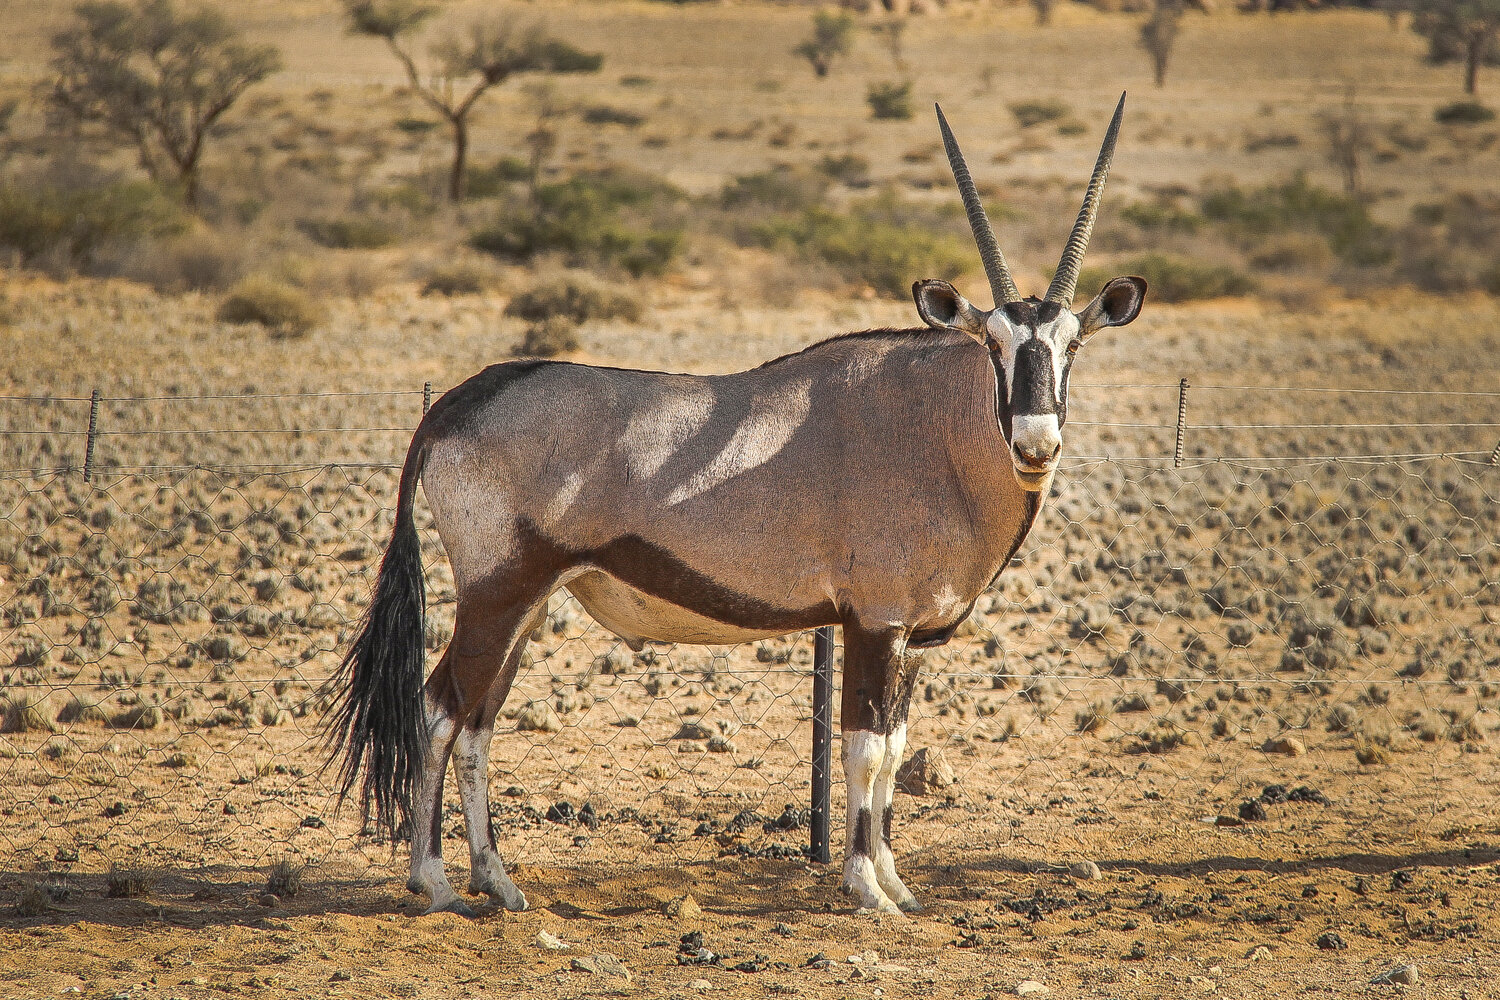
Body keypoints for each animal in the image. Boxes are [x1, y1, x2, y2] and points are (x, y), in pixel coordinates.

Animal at [328, 93, 1146, 917]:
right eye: (994, 345)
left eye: (1073, 344)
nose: (1036, 443)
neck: (932, 429)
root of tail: (454, 405)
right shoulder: (873, 624)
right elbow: (864, 750)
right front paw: (865, 888)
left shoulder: (914, 638)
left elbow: (894, 752)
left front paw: (896, 884)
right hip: (497, 595)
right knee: (439, 711)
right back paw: (433, 881)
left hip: (526, 606)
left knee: (478, 722)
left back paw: (497, 880)